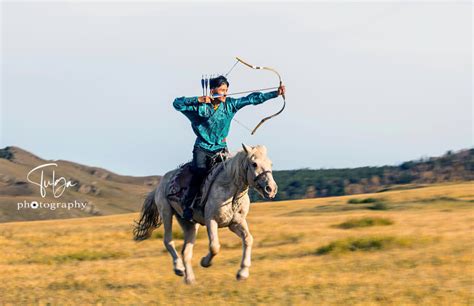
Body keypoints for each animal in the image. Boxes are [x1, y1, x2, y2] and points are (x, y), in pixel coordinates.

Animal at [131, 143, 278, 284]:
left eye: (270, 163)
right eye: (254, 164)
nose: (271, 189)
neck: (230, 191)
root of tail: (161, 183)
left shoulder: (236, 223)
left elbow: (248, 239)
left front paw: (242, 273)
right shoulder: (211, 221)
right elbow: (214, 247)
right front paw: (205, 262)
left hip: (188, 223)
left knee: (186, 251)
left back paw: (189, 279)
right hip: (166, 212)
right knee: (168, 241)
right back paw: (179, 268)